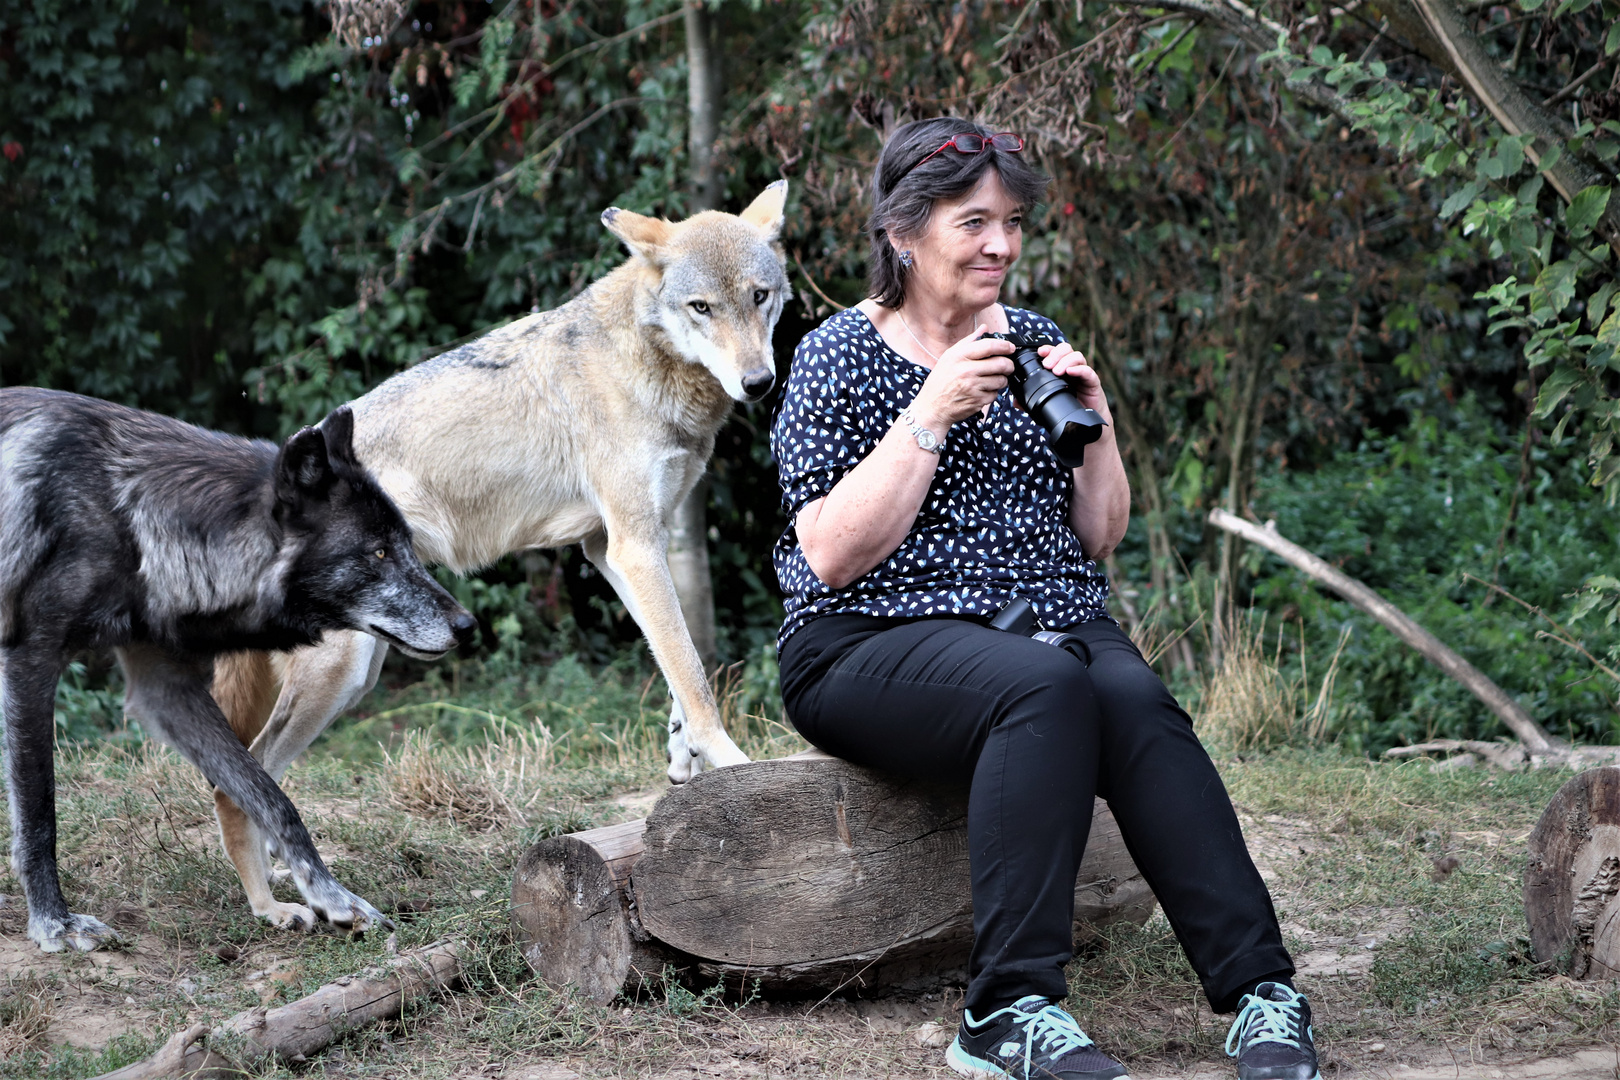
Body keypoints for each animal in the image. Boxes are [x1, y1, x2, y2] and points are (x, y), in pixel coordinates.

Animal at [1, 390, 473, 952]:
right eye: (378, 552)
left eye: (406, 547)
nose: (467, 625)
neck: (127, 510)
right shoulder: (30, 659)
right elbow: (39, 812)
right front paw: (54, 922)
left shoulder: (163, 686)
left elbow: (269, 794)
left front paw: (332, 896)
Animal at [212, 181, 793, 932]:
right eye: (702, 308)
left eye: (759, 297)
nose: (757, 382)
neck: (646, 356)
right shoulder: (634, 542)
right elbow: (695, 676)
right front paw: (731, 765)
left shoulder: (617, 548)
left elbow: (678, 662)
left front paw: (682, 757)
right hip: (342, 675)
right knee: (243, 777)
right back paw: (274, 907)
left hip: (355, 676)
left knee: (262, 781)